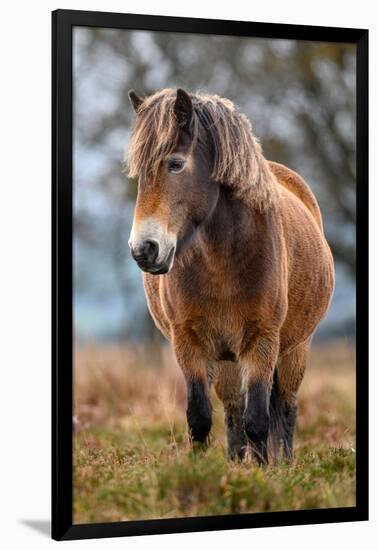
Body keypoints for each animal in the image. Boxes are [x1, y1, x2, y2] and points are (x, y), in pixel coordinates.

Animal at [126, 87, 334, 466]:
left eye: (175, 164)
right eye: (139, 174)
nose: (143, 250)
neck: (221, 264)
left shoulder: (261, 342)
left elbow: (259, 420)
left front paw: (263, 472)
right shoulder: (189, 344)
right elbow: (200, 417)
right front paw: (202, 472)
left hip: (295, 349)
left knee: (286, 408)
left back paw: (283, 463)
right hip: (225, 357)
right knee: (233, 409)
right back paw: (236, 462)